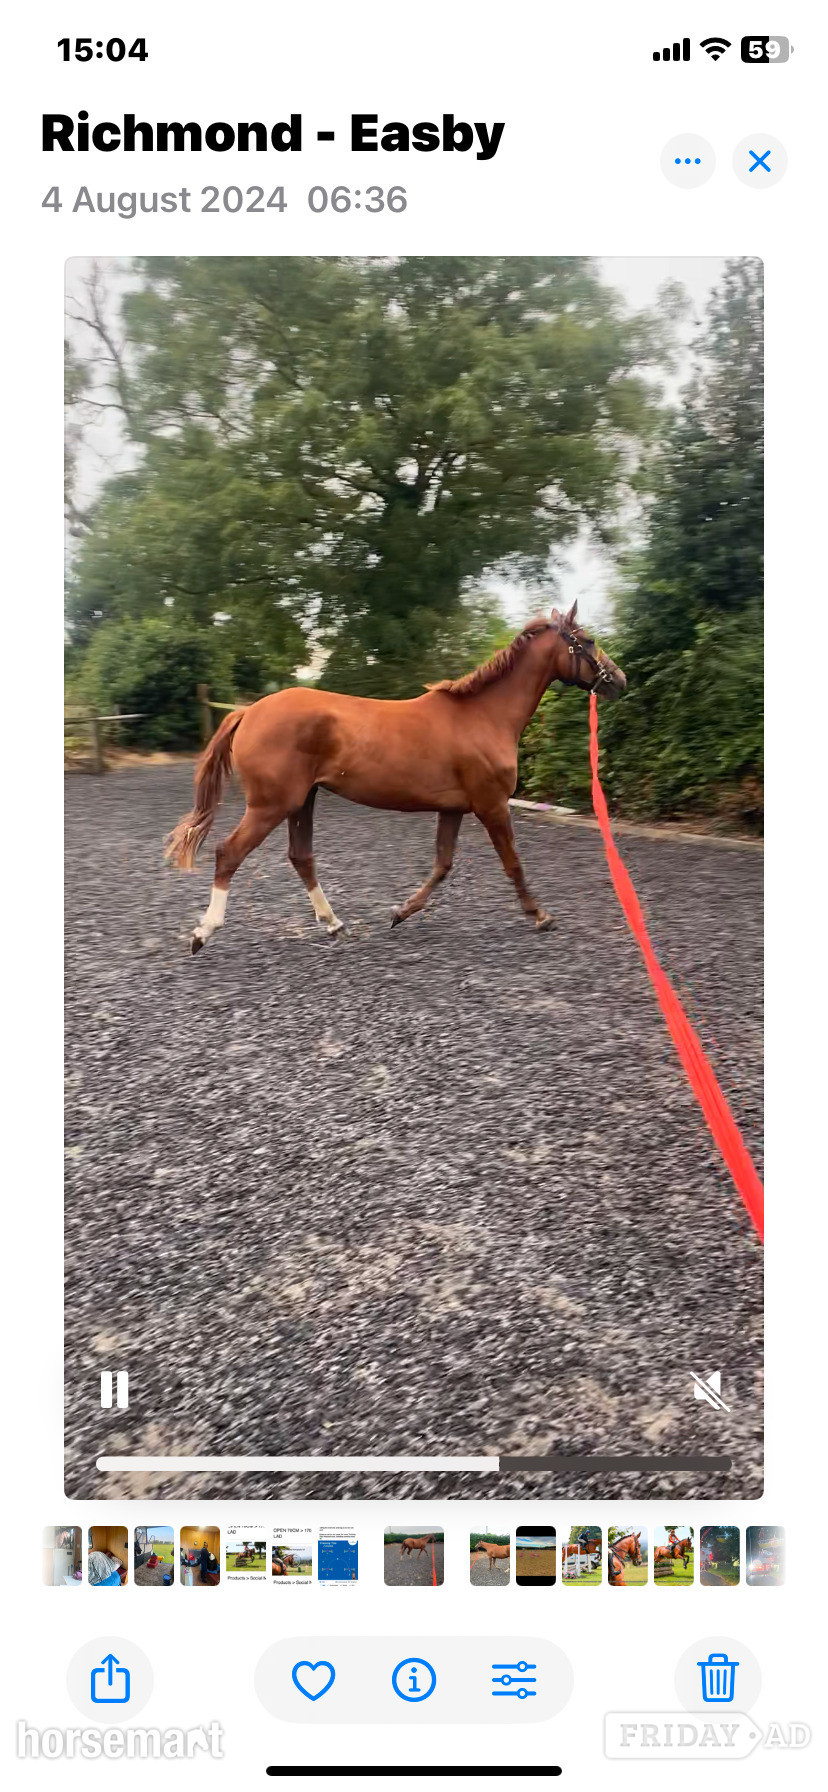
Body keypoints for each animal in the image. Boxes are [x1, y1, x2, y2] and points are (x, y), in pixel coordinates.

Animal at [164, 604, 626, 954]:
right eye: (587, 641)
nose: (618, 680)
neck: (483, 716)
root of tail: (249, 712)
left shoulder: (454, 809)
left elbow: (442, 865)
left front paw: (400, 913)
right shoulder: (491, 805)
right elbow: (512, 863)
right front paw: (541, 916)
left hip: (301, 801)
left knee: (301, 857)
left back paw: (334, 924)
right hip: (271, 804)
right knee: (229, 853)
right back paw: (203, 933)